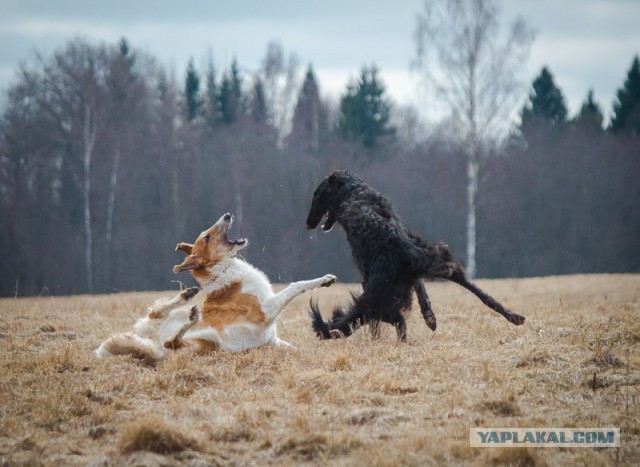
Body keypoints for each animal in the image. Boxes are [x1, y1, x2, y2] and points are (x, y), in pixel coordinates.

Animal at [306, 170, 524, 342]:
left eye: (316, 193)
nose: (308, 223)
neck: (355, 193)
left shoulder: (367, 272)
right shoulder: (415, 269)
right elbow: (421, 287)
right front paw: (429, 315)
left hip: (379, 300)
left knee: (396, 321)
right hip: (439, 260)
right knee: (478, 291)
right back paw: (514, 316)